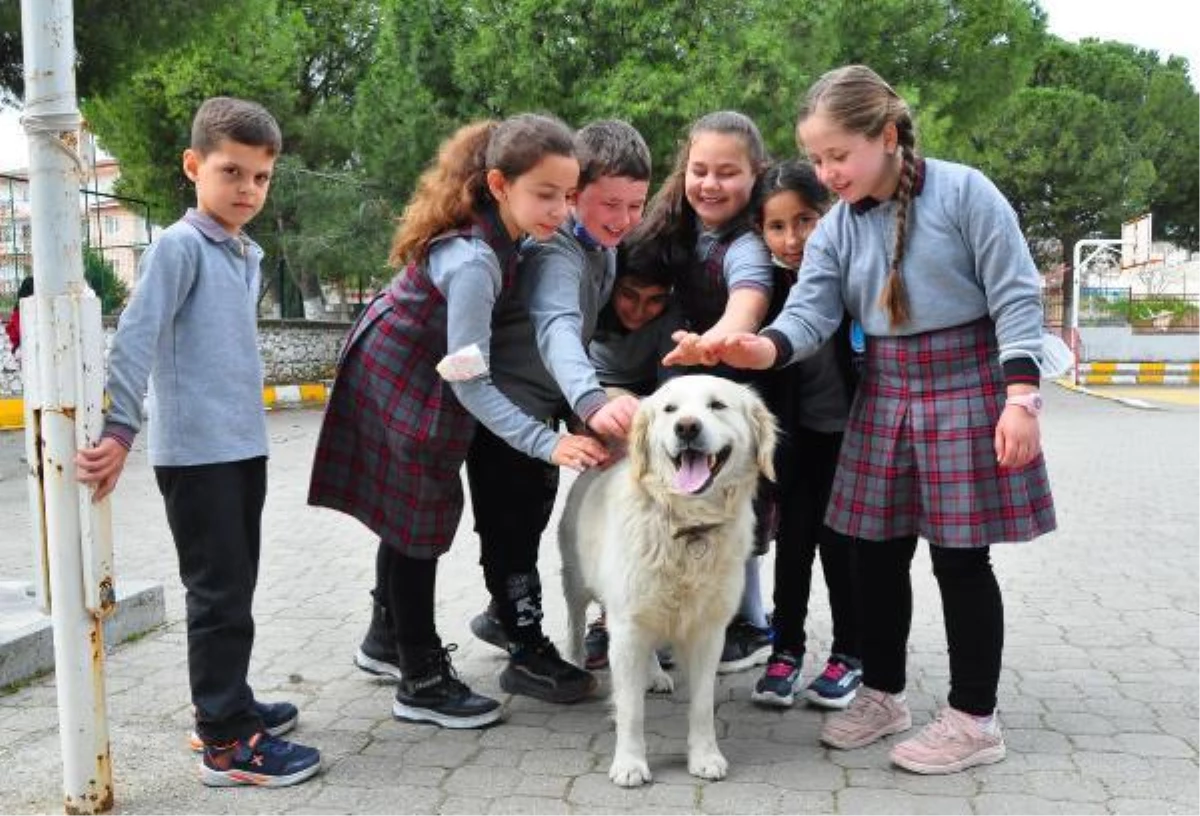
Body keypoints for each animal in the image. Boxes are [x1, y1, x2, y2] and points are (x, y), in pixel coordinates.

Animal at [556, 374, 772, 782]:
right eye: (670, 409)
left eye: (717, 405)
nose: (686, 427)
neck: (687, 527)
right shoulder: (627, 624)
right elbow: (631, 709)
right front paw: (629, 762)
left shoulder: (707, 630)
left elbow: (702, 705)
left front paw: (704, 756)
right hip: (577, 582)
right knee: (575, 624)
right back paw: (574, 664)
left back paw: (653, 674)